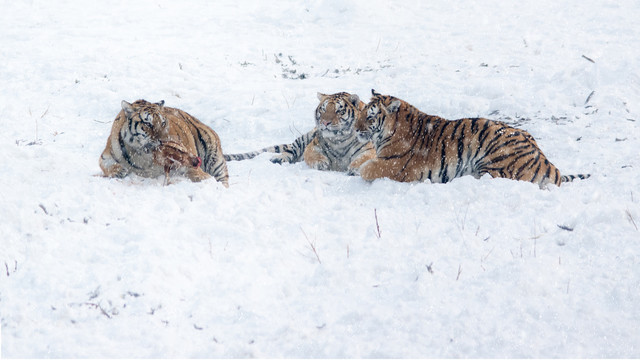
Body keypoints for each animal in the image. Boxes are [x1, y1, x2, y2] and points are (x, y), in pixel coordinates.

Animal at [99, 99, 229, 187]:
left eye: (162, 123)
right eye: (148, 123)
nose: (165, 140)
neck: (142, 154)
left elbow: (197, 173)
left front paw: (207, 180)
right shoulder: (107, 154)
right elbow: (104, 165)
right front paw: (119, 170)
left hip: (214, 159)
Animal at [224, 91, 376, 173]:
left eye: (339, 110)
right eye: (323, 109)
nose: (325, 123)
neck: (339, 140)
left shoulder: (369, 149)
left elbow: (363, 159)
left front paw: (353, 168)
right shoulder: (312, 146)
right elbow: (313, 155)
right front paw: (321, 163)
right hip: (303, 139)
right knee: (290, 150)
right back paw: (278, 158)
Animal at [356, 89, 592, 188]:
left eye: (370, 116)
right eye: (361, 113)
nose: (357, 129)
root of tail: (548, 164)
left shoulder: (393, 166)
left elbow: (365, 169)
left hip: (493, 162)